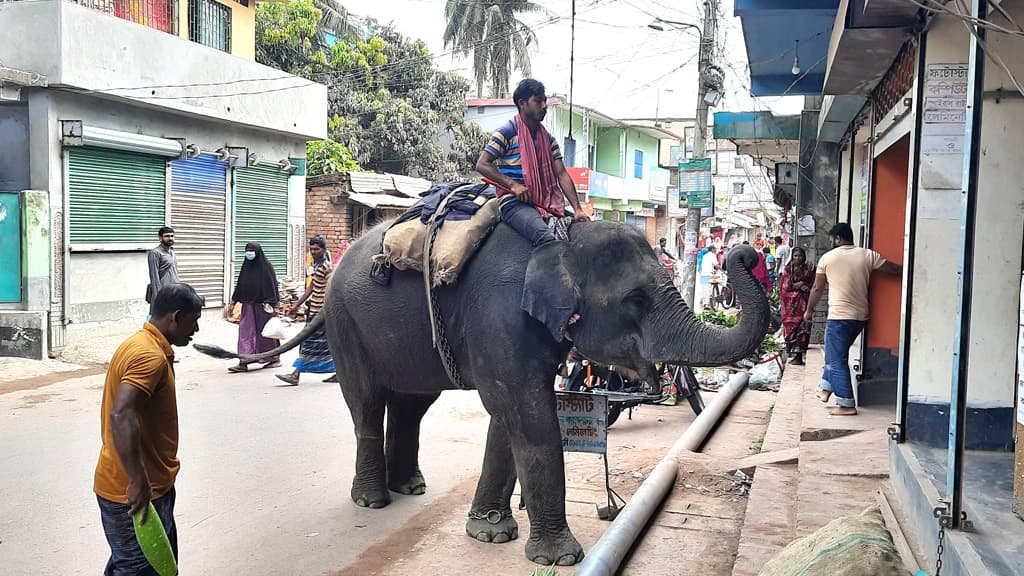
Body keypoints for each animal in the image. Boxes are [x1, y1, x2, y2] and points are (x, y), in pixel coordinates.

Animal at [197, 219, 770, 565]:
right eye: (634, 300)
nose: (745, 250)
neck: (563, 237)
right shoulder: (500, 315)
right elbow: (527, 413)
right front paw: (561, 558)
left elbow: (508, 416)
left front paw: (490, 533)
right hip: (346, 324)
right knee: (367, 404)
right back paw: (373, 499)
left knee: (411, 405)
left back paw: (411, 487)